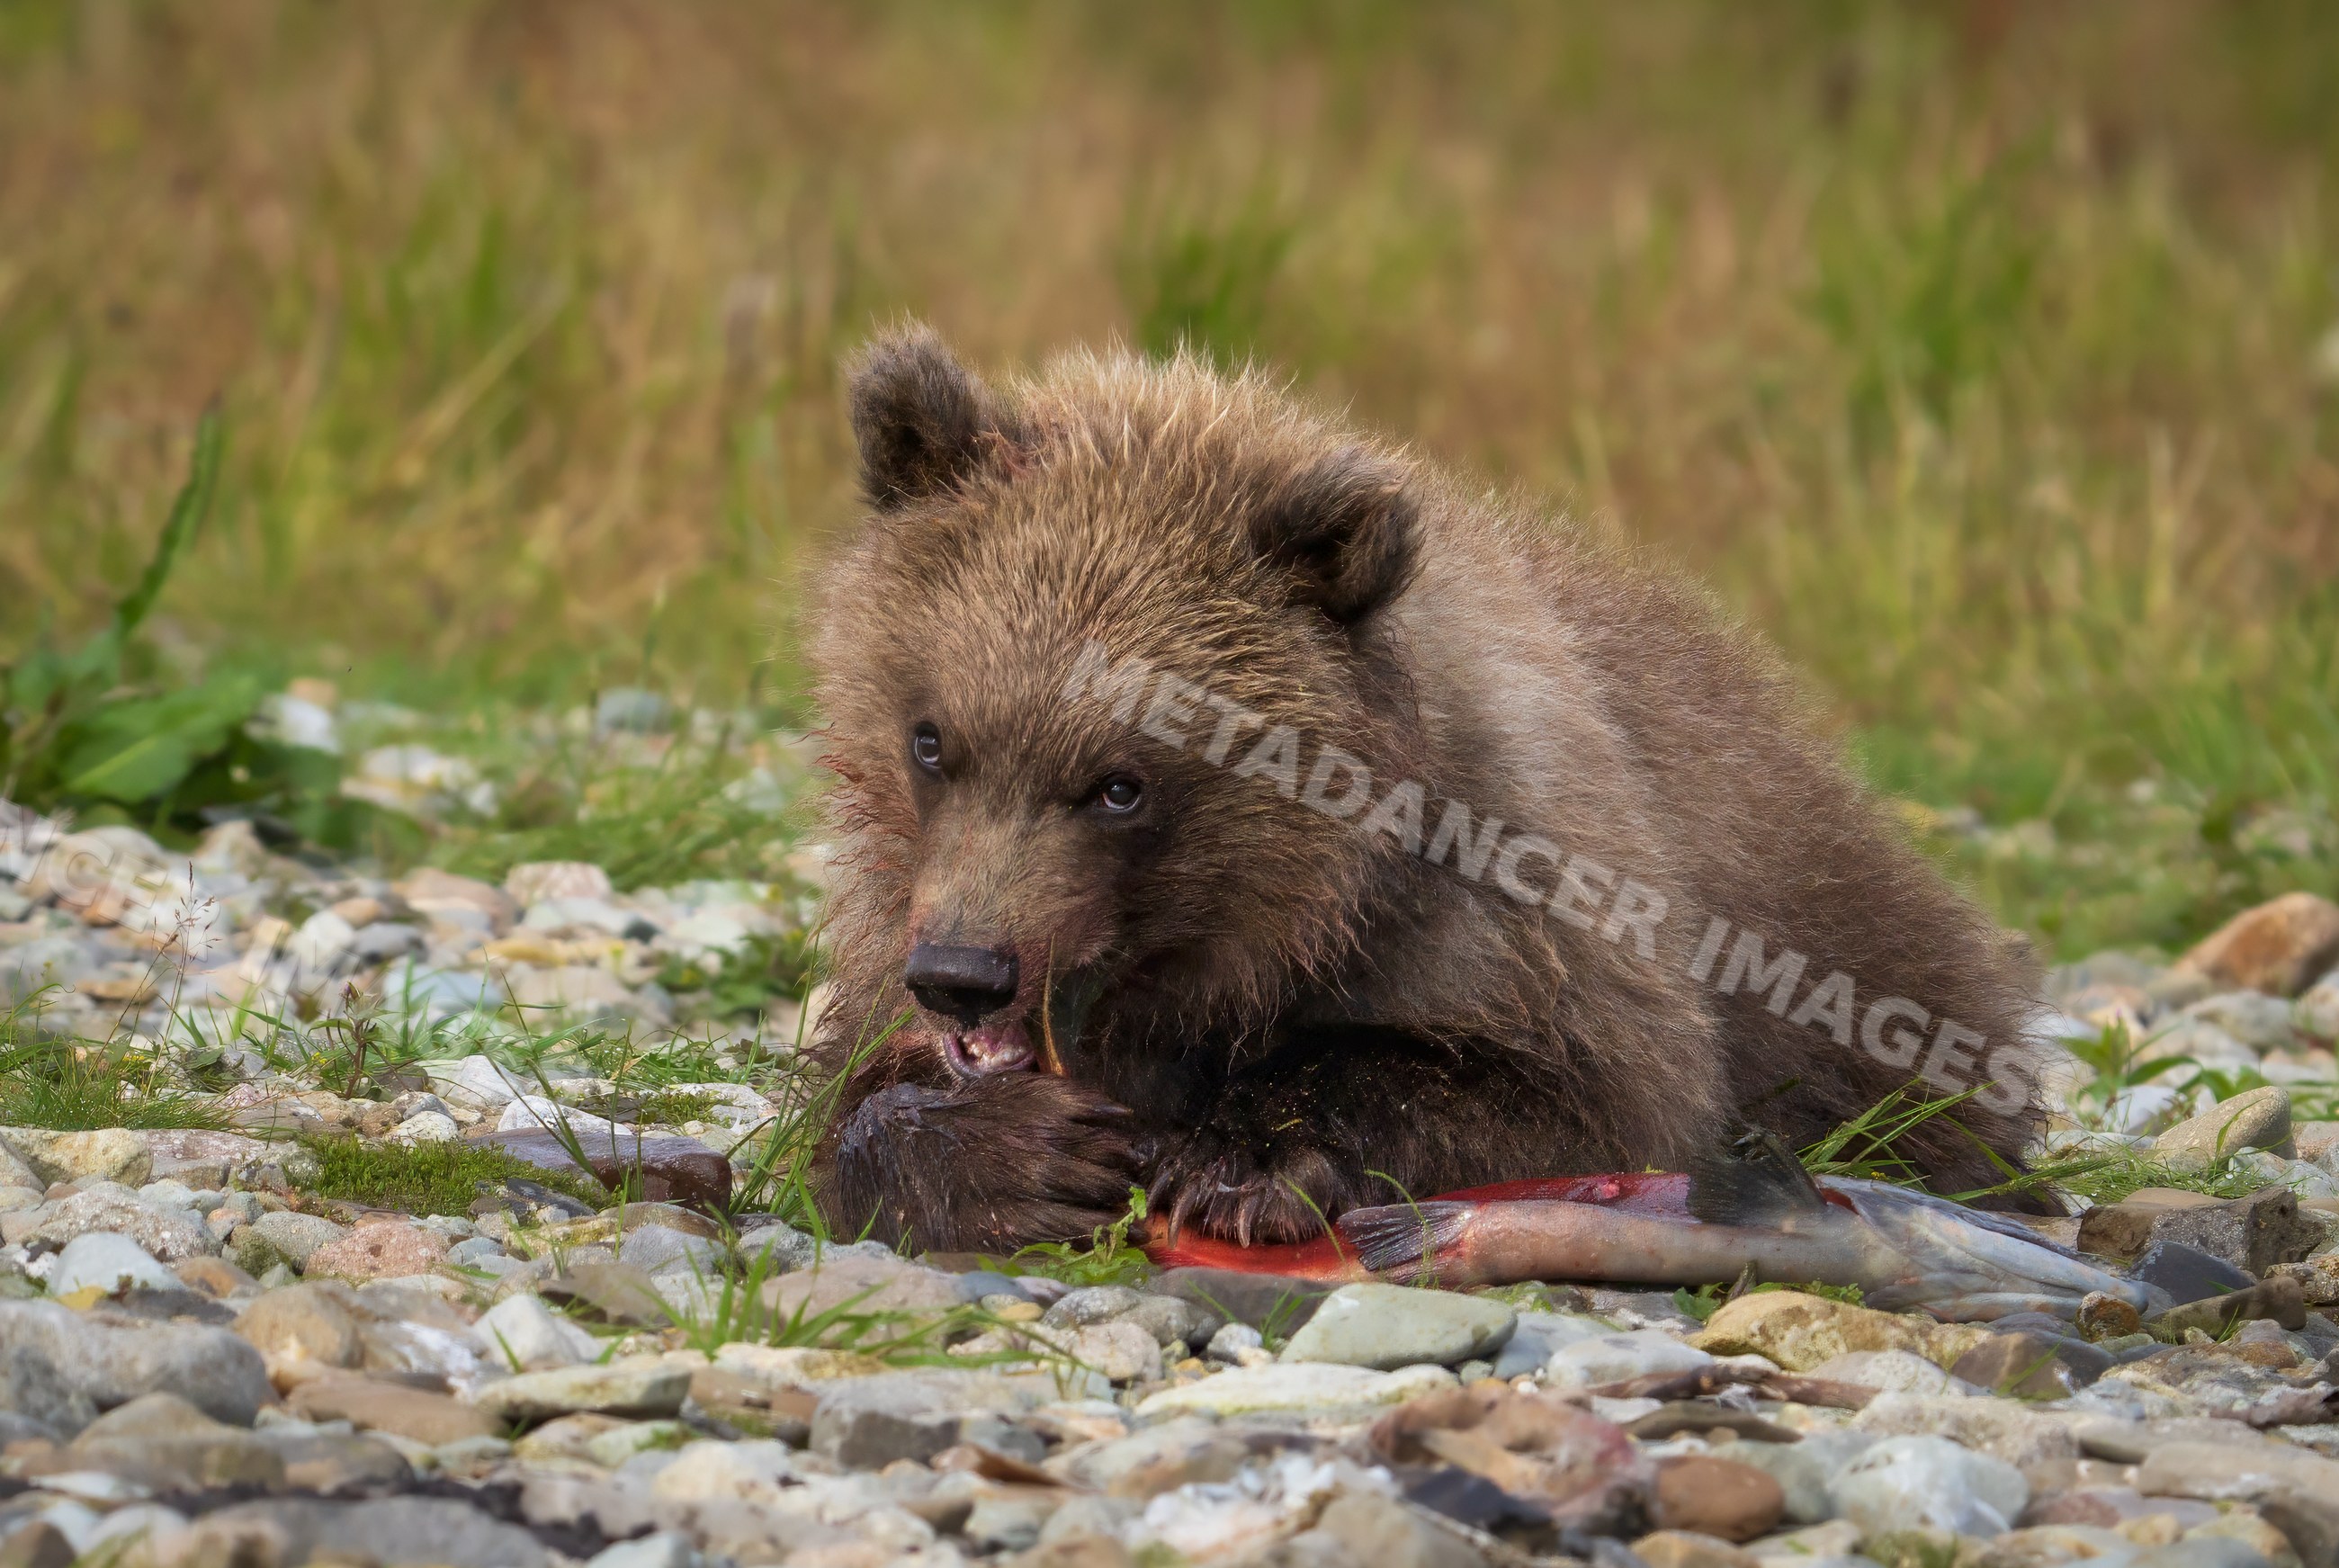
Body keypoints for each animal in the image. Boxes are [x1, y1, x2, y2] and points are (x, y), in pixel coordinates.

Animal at [808, 323, 2048, 1255]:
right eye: (931, 739)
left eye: (1120, 784)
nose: (964, 973)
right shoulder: (897, 913)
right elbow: (847, 1093)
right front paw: (1013, 1158)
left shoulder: (1525, 904)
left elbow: (1570, 1094)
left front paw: (1246, 1159)